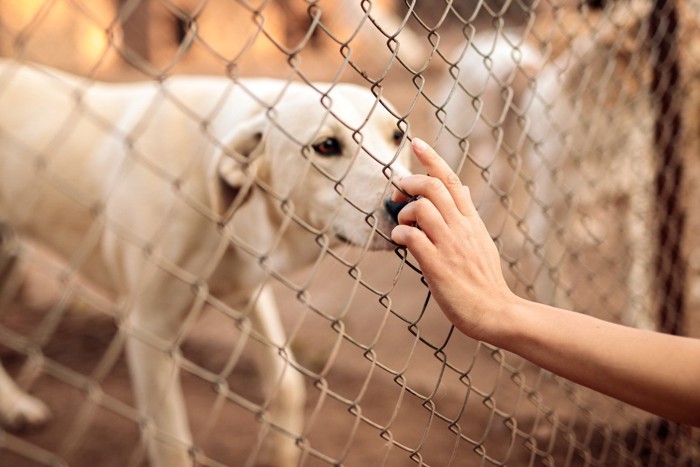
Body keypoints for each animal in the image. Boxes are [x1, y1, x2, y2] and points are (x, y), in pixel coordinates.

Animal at [0, 60, 412, 466]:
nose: (407, 204)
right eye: (326, 146)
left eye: (398, 136)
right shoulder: (149, 329)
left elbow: (286, 385)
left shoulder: (248, 292)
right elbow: (172, 444)